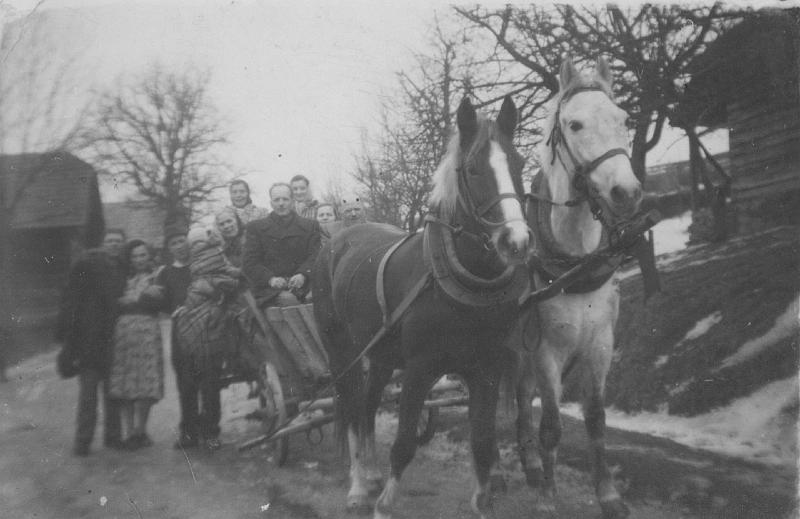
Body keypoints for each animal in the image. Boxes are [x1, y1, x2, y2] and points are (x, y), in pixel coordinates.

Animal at [312, 95, 532, 516]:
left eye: (519, 163)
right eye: (474, 169)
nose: (517, 242)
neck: (458, 284)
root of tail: (337, 240)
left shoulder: (486, 370)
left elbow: (483, 444)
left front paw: (482, 501)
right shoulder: (418, 370)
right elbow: (404, 445)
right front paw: (383, 505)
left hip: (380, 355)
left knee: (367, 405)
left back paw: (371, 474)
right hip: (342, 350)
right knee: (351, 406)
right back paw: (358, 485)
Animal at [512, 58, 644, 519]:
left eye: (624, 119)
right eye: (575, 124)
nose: (627, 191)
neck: (573, 265)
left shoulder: (601, 345)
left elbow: (596, 420)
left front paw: (608, 494)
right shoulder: (545, 352)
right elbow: (552, 425)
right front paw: (550, 499)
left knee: (520, 402)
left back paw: (531, 465)